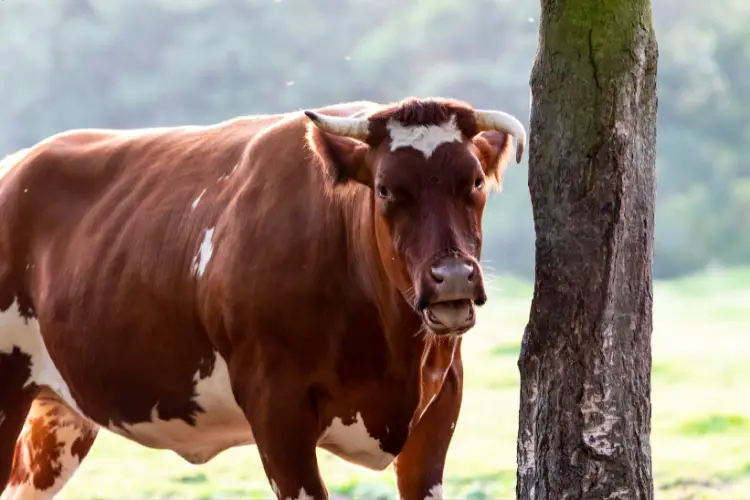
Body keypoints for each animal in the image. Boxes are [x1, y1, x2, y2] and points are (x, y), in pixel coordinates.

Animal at [0, 97, 528, 500]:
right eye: (385, 189)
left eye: (474, 181)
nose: (453, 277)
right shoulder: (276, 409)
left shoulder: (440, 404)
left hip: (58, 417)